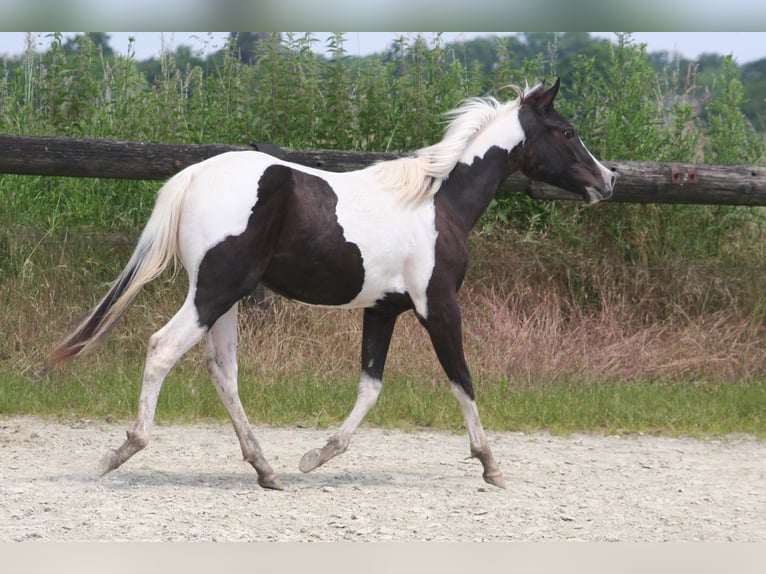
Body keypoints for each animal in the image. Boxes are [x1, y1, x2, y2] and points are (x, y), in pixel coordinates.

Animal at [49, 77, 616, 490]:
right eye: (567, 131)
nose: (607, 180)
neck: (438, 205)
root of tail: (193, 176)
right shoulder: (438, 306)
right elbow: (462, 378)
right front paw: (490, 465)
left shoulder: (382, 310)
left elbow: (370, 386)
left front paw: (316, 456)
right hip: (214, 291)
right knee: (163, 348)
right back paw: (122, 451)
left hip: (226, 296)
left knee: (222, 371)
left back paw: (267, 470)